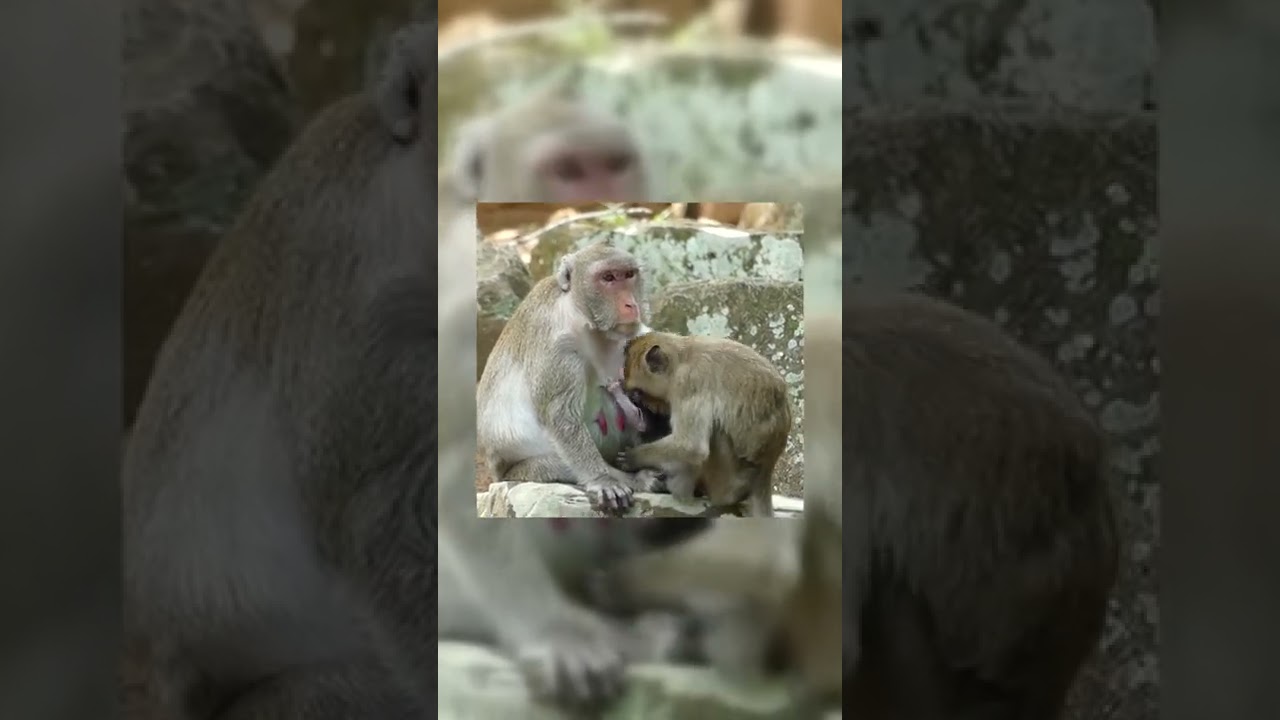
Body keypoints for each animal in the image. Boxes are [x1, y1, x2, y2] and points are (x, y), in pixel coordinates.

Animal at [615, 331, 793, 517]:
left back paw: (679, 490)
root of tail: (766, 469)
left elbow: (691, 446)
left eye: (638, 393)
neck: (682, 358)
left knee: (715, 432)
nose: (641, 404)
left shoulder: (687, 383)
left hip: (726, 485)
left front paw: (634, 457)